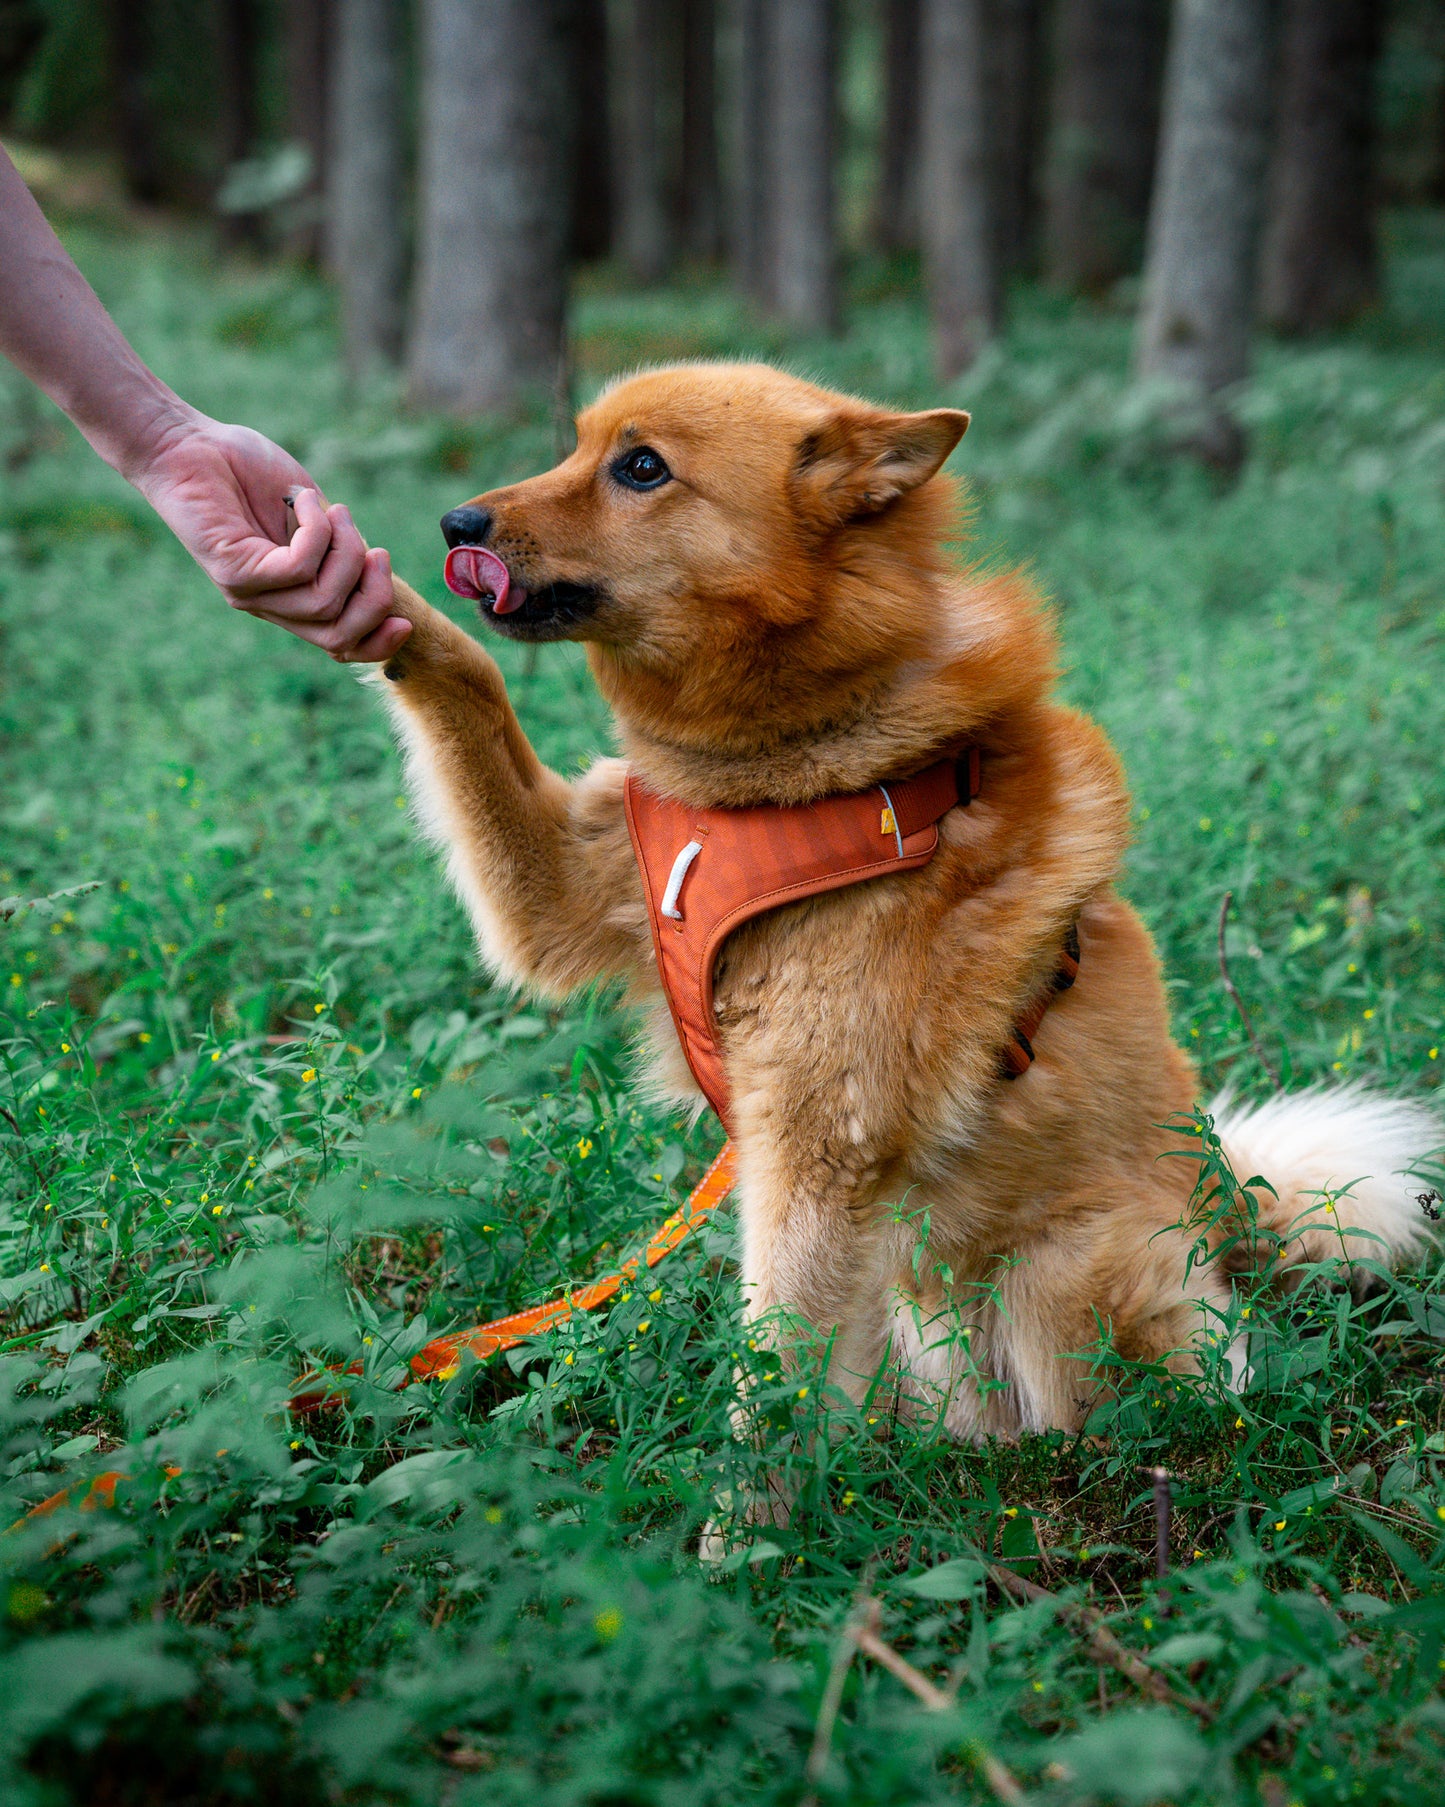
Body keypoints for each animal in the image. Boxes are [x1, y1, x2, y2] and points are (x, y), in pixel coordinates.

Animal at [357, 363, 1430, 1452]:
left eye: (642, 468)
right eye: (577, 448)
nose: (456, 523)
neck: (788, 771)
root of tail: (1238, 1217)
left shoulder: (817, 1148)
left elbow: (768, 1373)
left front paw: (740, 1502)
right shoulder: (574, 890)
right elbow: (474, 680)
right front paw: (368, 594)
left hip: (1060, 1274)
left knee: (1144, 1397)